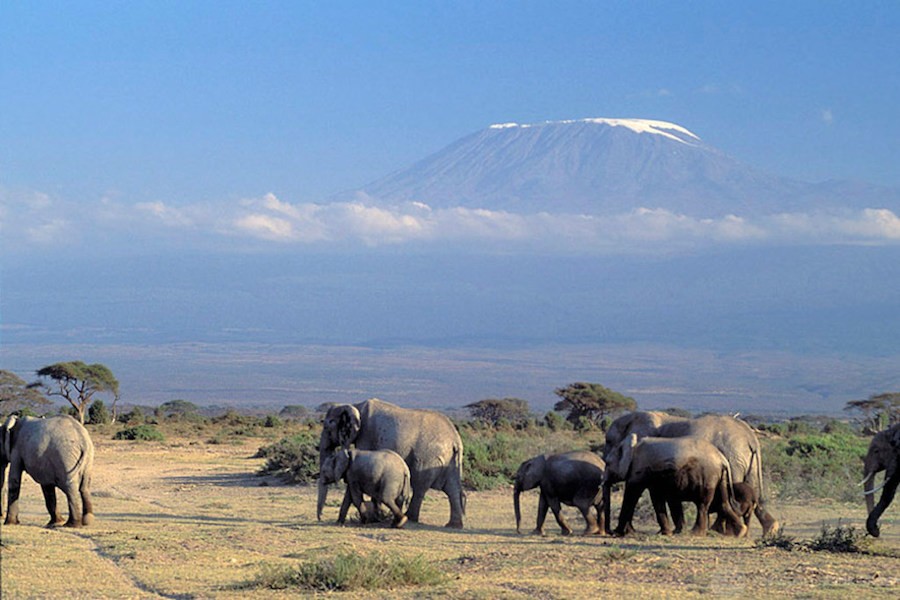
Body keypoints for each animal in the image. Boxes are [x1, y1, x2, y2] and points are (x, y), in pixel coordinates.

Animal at [316, 400, 468, 528]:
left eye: (327, 427)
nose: (320, 518)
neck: (354, 405)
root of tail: (456, 440)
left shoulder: (366, 436)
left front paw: (371, 519)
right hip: (450, 460)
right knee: (452, 488)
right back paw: (453, 525)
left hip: (428, 457)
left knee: (419, 486)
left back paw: (408, 519)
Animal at [608, 434, 748, 536]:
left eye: (608, 462)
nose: (609, 532)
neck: (632, 444)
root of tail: (722, 458)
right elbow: (662, 499)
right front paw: (672, 532)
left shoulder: (639, 469)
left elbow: (632, 495)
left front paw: (618, 533)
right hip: (719, 477)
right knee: (723, 503)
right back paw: (741, 532)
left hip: (708, 477)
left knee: (702, 504)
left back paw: (695, 533)